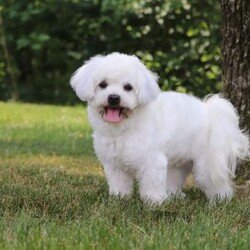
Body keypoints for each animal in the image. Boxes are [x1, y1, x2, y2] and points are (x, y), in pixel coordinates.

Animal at [71, 52, 250, 203]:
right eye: (102, 84)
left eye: (128, 87)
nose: (114, 98)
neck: (125, 128)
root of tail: (209, 112)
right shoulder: (114, 165)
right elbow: (119, 184)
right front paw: (119, 199)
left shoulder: (152, 162)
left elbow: (152, 184)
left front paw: (154, 203)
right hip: (178, 163)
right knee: (175, 179)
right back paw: (175, 196)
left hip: (207, 163)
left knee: (215, 182)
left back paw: (220, 200)